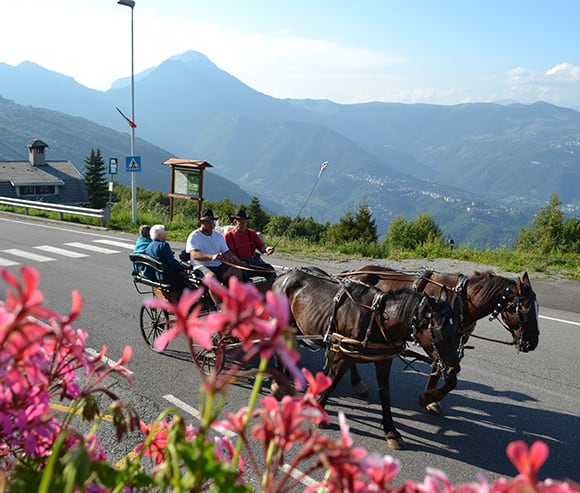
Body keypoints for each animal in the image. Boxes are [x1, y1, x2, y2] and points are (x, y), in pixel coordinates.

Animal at [270, 268, 460, 448]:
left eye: (457, 329)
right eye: (440, 332)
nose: (454, 369)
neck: (378, 320)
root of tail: (283, 276)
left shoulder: (384, 359)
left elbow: (385, 394)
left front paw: (391, 431)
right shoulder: (343, 355)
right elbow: (333, 382)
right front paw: (319, 412)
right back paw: (279, 384)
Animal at [340, 266, 540, 412]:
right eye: (522, 308)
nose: (533, 343)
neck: (462, 300)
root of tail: (353, 272)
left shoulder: (450, 343)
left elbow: (441, 369)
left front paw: (430, 398)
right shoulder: (432, 340)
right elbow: (449, 377)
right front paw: (428, 398)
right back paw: (357, 382)